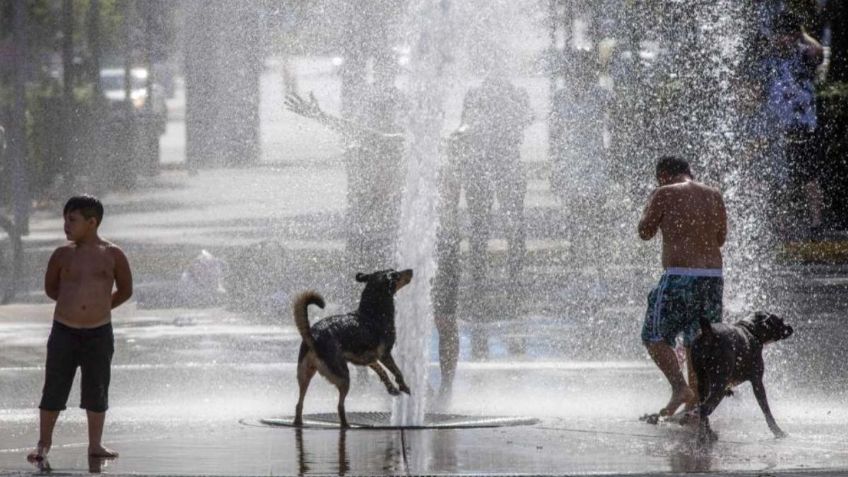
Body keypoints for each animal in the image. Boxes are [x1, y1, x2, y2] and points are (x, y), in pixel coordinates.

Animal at [292, 268, 414, 428]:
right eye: (397, 274)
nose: (411, 270)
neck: (372, 312)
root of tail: (314, 336)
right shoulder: (385, 354)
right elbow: (397, 371)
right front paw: (404, 387)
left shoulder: (369, 359)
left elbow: (382, 372)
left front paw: (392, 388)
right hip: (343, 376)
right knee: (339, 406)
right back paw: (346, 425)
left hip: (305, 374)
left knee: (299, 403)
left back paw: (298, 422)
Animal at [692, 310, 792, 440]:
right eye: (781, 320)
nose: (790, 327)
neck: (751, 329)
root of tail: (708, 332)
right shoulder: (757, 381)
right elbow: (766, 409)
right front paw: (777, 431)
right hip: (719, 384)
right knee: (704, 408)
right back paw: (702, 437)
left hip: (703, 381)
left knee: (702, 407)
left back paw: (709, 433)